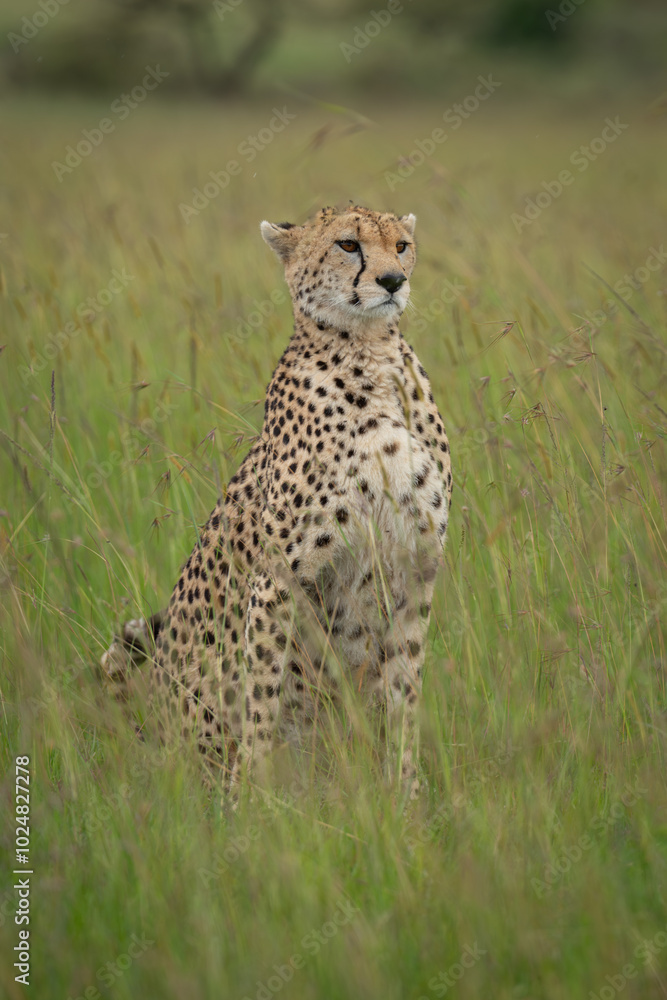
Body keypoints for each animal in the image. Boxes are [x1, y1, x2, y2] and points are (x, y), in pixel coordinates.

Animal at [101, 204, 452, 799]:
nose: (392, 281)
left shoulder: (416, 566)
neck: (370, 352)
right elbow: (261, 694)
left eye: (402, 246)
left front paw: (404, 793)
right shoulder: (278, 579)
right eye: (348, 244)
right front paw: (253, 801)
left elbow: (406, 689)